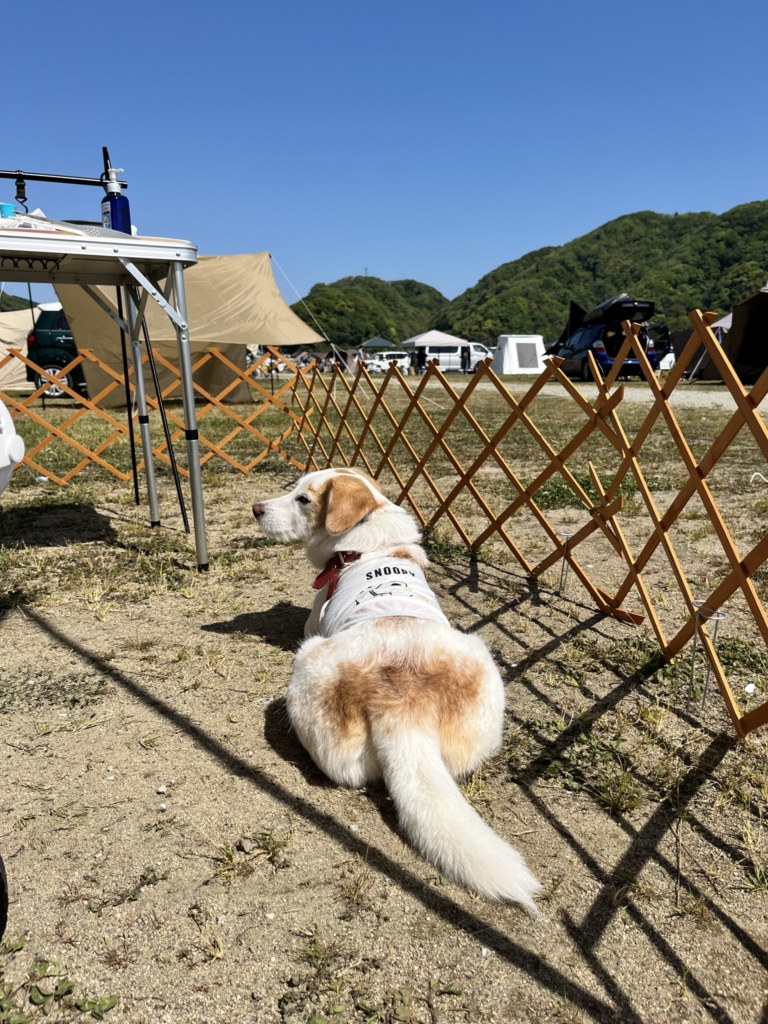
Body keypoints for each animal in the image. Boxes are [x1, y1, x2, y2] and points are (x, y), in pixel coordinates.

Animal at [252, 468, 540, 909]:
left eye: (303, 499)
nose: (255, 508)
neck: (368, 542)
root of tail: (404, 707)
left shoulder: (315, 616)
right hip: (481, 662)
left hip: (307, 662)